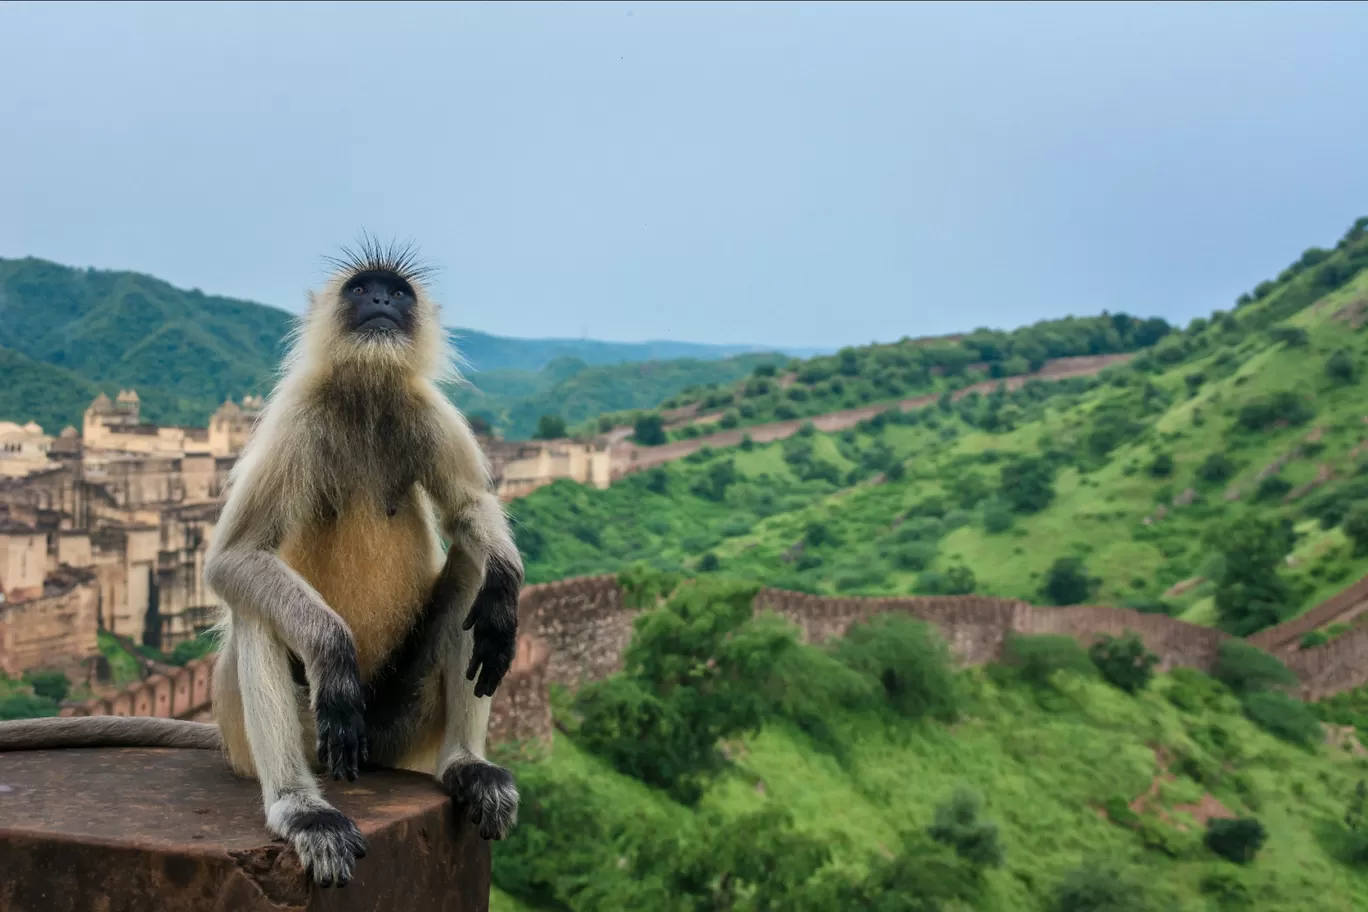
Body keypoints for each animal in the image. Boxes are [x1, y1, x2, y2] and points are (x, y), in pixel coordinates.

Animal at [0, 239, 522, 886]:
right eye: (361, 289)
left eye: (397, 293)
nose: (379, 302)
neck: (366, 395)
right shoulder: (292, 417)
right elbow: (235, 558)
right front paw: (331, 647)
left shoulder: (432, 413)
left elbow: (472, 510)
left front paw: (506, 585)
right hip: (291, 733)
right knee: (256, 610)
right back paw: (302, 809)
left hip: (400, 728)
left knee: (474, 577)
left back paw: (465, 762)